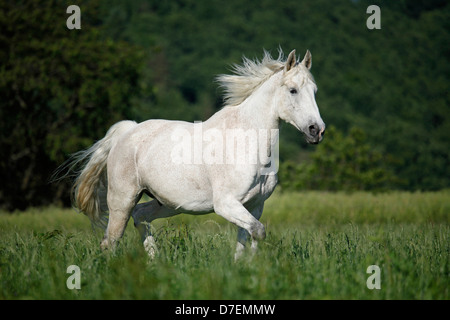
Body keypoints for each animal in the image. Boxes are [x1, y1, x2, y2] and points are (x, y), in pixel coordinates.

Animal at [62, 50, 324, 260]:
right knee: (111, 241)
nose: (317, 131)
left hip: (168, 203)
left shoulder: (254, 205)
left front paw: (245, 268)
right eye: (293, 90)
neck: (247, 143)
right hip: (121, 200)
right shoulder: (226, 204)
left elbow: (248, 236)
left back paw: (155, 261)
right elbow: (257, 231)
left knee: (141, 216)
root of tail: (127, 131)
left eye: (314, 91)